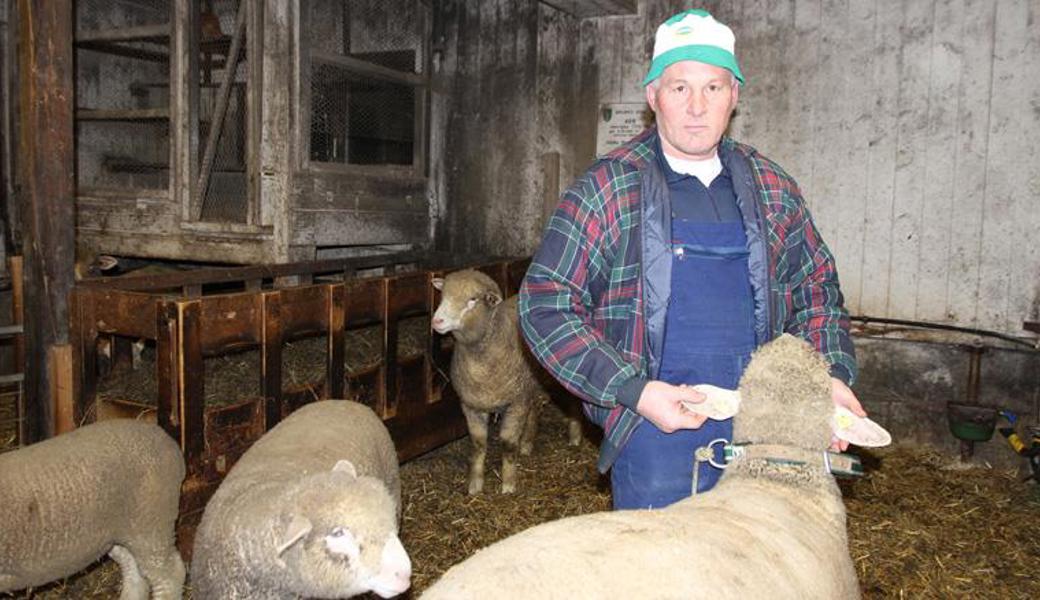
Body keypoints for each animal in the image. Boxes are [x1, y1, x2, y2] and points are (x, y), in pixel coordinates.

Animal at [430, 268, 586, 492]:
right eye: (443, 296)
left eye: (472, 299)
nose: (437, 321)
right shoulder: (471, 405)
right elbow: (478, 444)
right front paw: (475, 485)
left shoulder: (515, 403)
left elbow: (507, 443)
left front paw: (509, 485)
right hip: (529, 385)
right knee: (534, 410)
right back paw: (527, 444)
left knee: (572, 401)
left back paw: (574, 435)